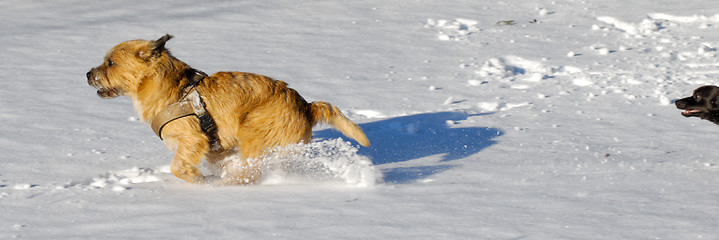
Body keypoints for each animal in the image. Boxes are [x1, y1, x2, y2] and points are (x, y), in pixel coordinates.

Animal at [87, 34, 372, 184]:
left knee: (251, 169)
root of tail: (306, 106)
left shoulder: (193, 139)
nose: (88, 74)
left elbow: (178, 166)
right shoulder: (215, 148)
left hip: (254, 134)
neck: (172, 89)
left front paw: (197, 179)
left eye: (110, 63)